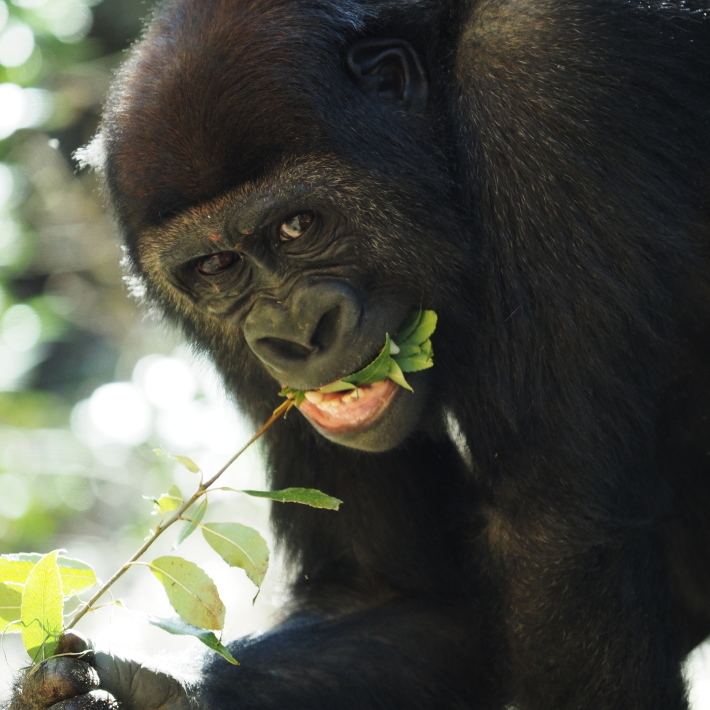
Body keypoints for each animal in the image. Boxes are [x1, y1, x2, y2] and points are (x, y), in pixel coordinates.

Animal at [6, 1, 710, 710]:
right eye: (216, 266)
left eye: (298, 226)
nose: (293, 336)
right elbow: (405, 602)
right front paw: (146, 690)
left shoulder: (541, 82)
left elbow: (561, 536)